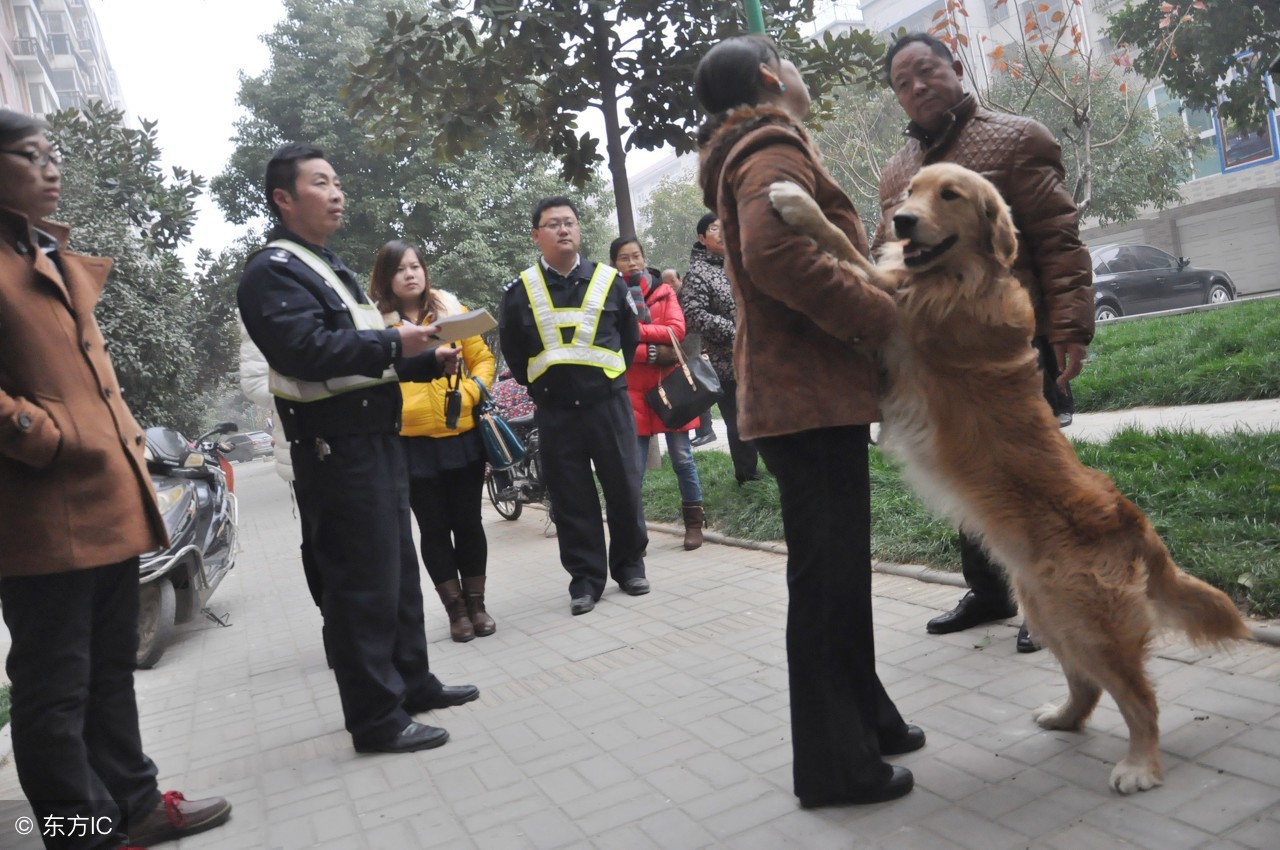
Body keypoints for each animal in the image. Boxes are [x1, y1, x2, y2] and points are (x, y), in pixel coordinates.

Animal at [768, 162, 1249, 793]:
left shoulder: (891, 307)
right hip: (1048, 611)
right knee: (1088, 685)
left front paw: (799, 205)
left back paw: (1140, 765)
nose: (902, 220)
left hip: (1090, 622)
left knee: (1139, 697)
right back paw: (1064, 717)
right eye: (909, 191)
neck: (965, 275)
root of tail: (1135, 522)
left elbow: (843, 247)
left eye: (949, 195)